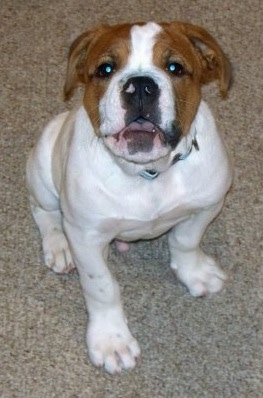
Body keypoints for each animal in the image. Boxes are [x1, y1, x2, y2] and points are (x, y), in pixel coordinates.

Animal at [26, 21, 233, 374]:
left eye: (175, 67)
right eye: (105, 69)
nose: (140, 87)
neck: (148, 174)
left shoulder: (206, 205)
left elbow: (186, 241)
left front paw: (195, 273)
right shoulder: (86, 237)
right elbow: (101, 287)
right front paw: (112, 340)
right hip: (42, 169)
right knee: (45, 213)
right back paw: (58, 247)